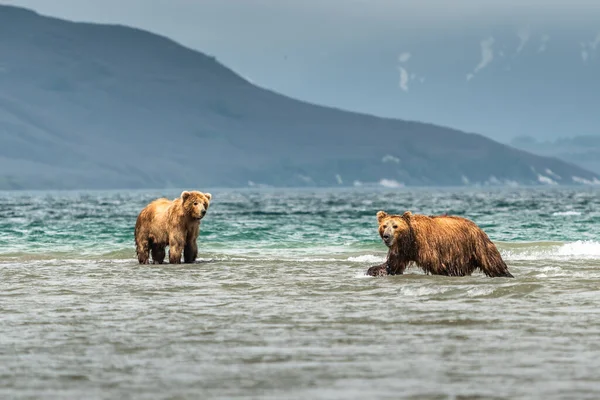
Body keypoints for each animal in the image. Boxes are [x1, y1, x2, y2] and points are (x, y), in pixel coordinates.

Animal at [368, 209, 512, 278]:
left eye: (395, 226)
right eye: (384, 225)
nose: (386, 236)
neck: (409, 238)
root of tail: (477, 226)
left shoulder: (427, 246)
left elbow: (437, 264)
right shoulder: (402, 251)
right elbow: (392, 265)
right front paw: (373, 270)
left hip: (476, 244)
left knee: (492, 262)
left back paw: (505, 274)